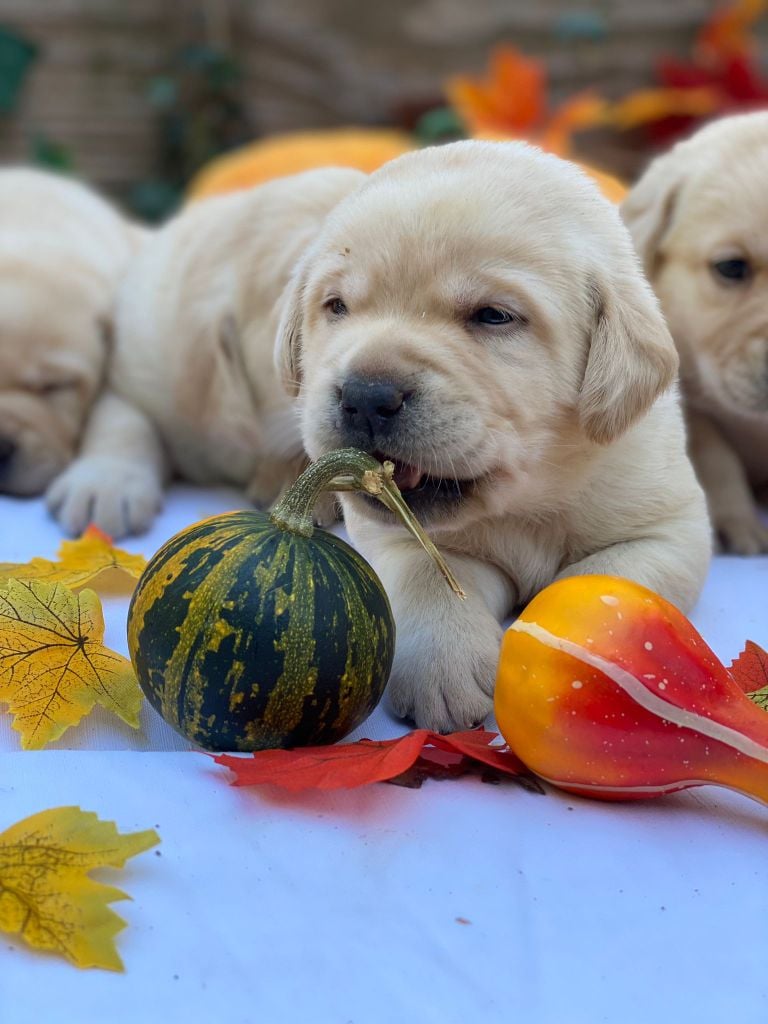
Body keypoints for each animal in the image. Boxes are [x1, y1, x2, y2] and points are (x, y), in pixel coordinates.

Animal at [276, 144, 716, 733]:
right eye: (337, 306)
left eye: (493, 316)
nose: (367, 396)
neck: (530, 496)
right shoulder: (390, 536)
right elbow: (427, 573)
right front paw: (446, 663)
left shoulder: (669, 528)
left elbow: (601, 582)